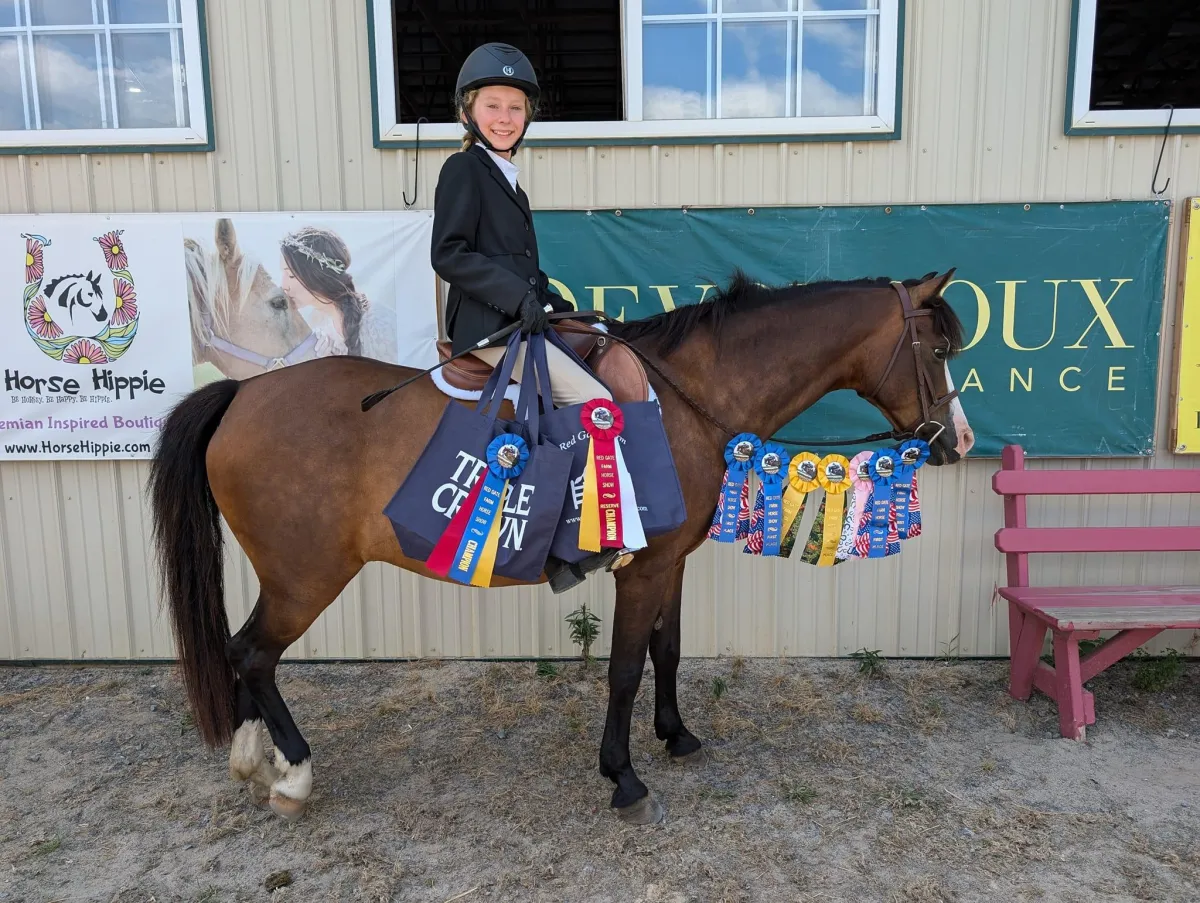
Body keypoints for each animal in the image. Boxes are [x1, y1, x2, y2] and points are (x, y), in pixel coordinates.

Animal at [148, 268, 975, 826]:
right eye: (934, 348)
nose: (959, 442)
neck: (688, 394)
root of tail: (244, 394)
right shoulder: (644, 568)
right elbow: (623, 668)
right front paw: (624, 777)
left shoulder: (672, 560)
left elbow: (667, 650)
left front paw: (677, 736)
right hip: (307, 575)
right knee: (252, 651)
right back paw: (291, 773)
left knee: (244, 651)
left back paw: (254, 759)